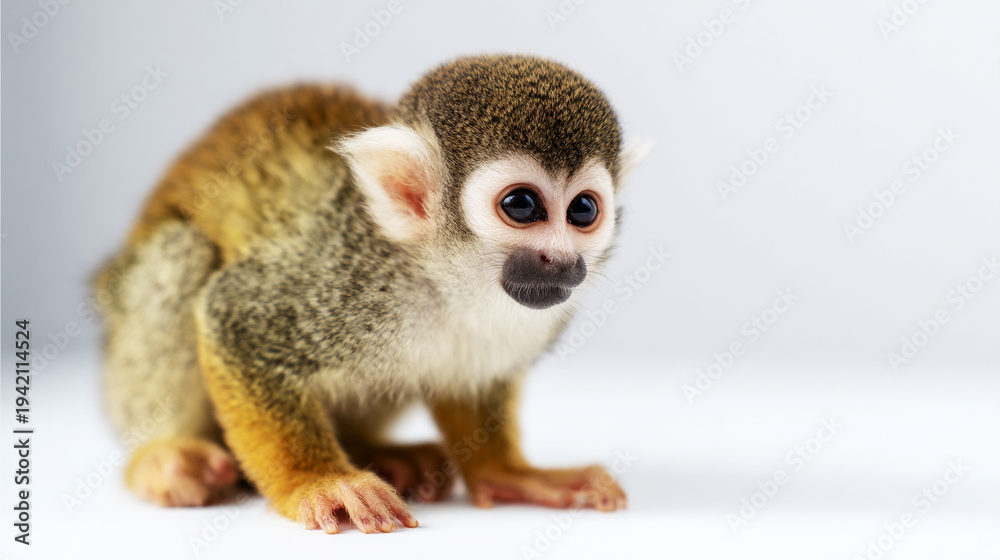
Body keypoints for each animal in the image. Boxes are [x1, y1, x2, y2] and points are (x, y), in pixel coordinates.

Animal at [96, 54, 645, 534]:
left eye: (582, 210)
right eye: (523, 205)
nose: (563, 261)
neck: (446, 279)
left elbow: (469, 384)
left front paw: (508, 473)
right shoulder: (346, 279)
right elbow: (235, 319)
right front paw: (319, 480)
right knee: (182, 250)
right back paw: (162, 455)